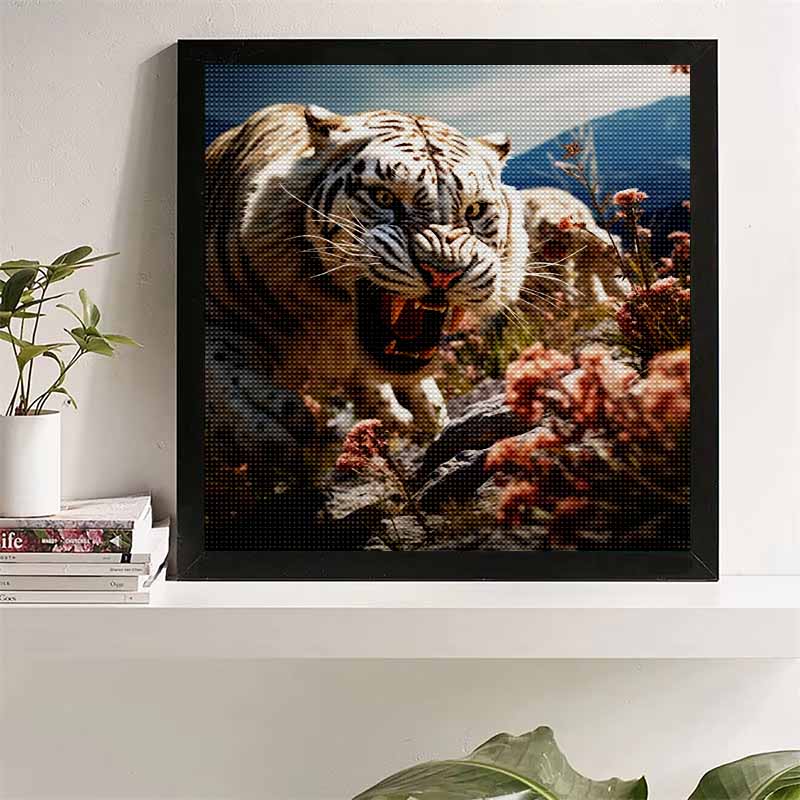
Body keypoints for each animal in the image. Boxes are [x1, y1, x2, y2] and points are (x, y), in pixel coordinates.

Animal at [205, 103, 530, 470]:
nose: (443, 272)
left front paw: (425, 422)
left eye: (474, 210)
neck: (331, 320)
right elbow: (220, 365)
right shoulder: (215, 316)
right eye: (383, 197)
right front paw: (276, 420)